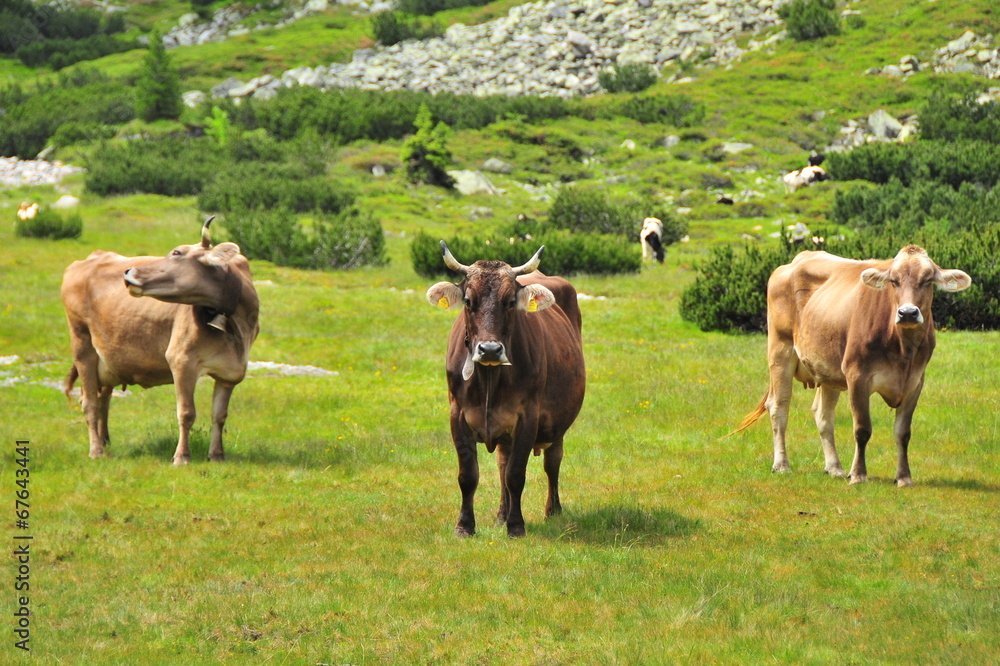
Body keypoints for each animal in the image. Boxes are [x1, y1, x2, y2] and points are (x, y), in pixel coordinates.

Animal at [61, 218, 259, 465]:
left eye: (177, 252)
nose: (128, 272)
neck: (236, 328)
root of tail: (90, 258)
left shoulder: (230, 372)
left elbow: (219, 415)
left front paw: (216, 454)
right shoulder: (181, 360)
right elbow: (187, 413)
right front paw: (181, 457)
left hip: (108, 359)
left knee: (103, 398)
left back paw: (105, 442)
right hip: (82, 343)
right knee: (89, 403)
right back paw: (96, 450)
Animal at [425, 241, 586, 537]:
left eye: (510, 302)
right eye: (468, 301)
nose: (490, 349)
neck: (489, 378)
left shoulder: (527, 417)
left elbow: (516, 475)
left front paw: (516, 525)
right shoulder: (458, 415)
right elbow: (469, 475)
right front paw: (465, 526)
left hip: (558, 423)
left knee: (552, 462)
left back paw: (552, 510)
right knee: (502, 463)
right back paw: (501, 514)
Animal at [733, 245, 971, 486]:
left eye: (927, 280)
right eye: (893, 281)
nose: (907, 313)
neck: (903, 350)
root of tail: (797, 259)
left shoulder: (915, 382)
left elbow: (903, 432)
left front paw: (904, 477)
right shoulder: (857, 376)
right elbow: (862, 429)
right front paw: (858, 474)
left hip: (827, 369)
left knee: (823, 415)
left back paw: (834, 467)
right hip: (780, 351)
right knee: (779, 407)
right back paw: (782, 464)